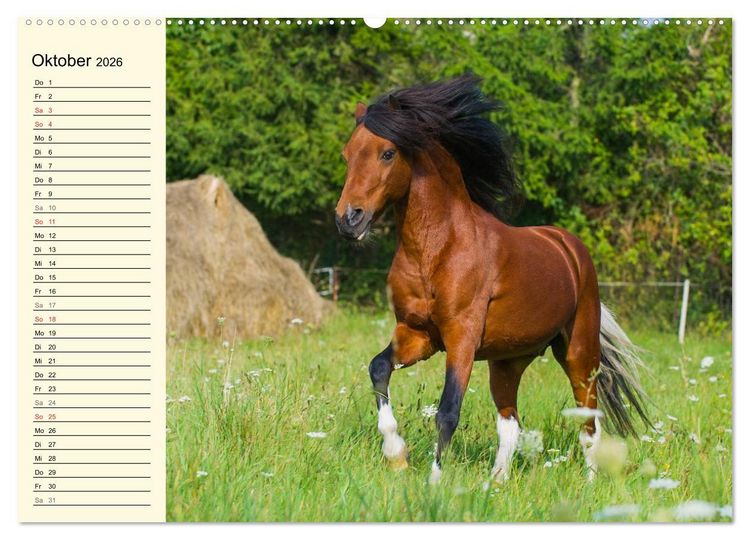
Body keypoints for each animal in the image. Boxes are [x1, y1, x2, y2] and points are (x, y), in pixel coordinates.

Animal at [335, 74, 650, 484]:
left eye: (387, 153)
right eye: (347, 154)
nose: (348, 219)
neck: (436, 249)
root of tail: (569, 247)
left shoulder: (462, 338)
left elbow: (448, 410)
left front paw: (433, 483)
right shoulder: (417, 334)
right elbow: (378, 368)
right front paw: (396, 454)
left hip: (579, 352)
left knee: (588, 421)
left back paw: (591, 482)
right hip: (508, 361)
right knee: (510, 423)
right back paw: (495, 484)